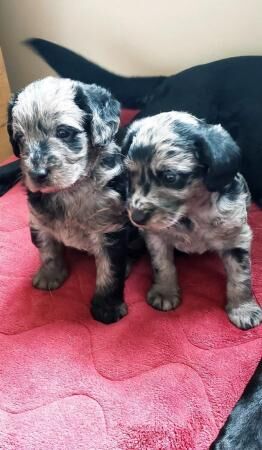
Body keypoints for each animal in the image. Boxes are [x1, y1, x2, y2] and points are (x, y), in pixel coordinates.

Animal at [8, 76, 130, 324]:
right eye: (20, 138)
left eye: (63, 132)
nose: (37, 174)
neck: (70, 189)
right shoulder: (39, 222)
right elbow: (48, 252)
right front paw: (50, 275)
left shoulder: (110, 229)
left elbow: (109, 272)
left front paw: (107, 307)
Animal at [124, 111, 262, 330]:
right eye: (129, 174)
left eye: (170, 177)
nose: (136, 218)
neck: (190, 214)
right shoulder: (155, 235)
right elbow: (162, 265)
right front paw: (165, 291)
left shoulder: (237, 237)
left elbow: (241, 275)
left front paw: (243, 308)